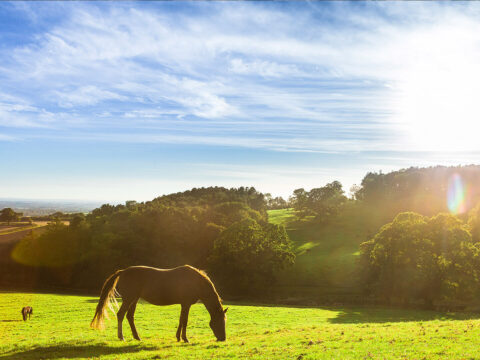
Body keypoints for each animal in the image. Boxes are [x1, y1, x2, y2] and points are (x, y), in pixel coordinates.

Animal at [90, 266, 229, 342]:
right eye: (220, 321)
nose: (223, 338)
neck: (196, 282)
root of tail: (123, 271)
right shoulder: (186, 304)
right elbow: (184, 321)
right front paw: (185, 339)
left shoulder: (183, 304)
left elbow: (180, 320)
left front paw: (178, 337)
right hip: (129, 299)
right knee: (121, 315)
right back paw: (121, 337)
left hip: (134, 299)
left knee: (130, 316)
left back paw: (137, 337)